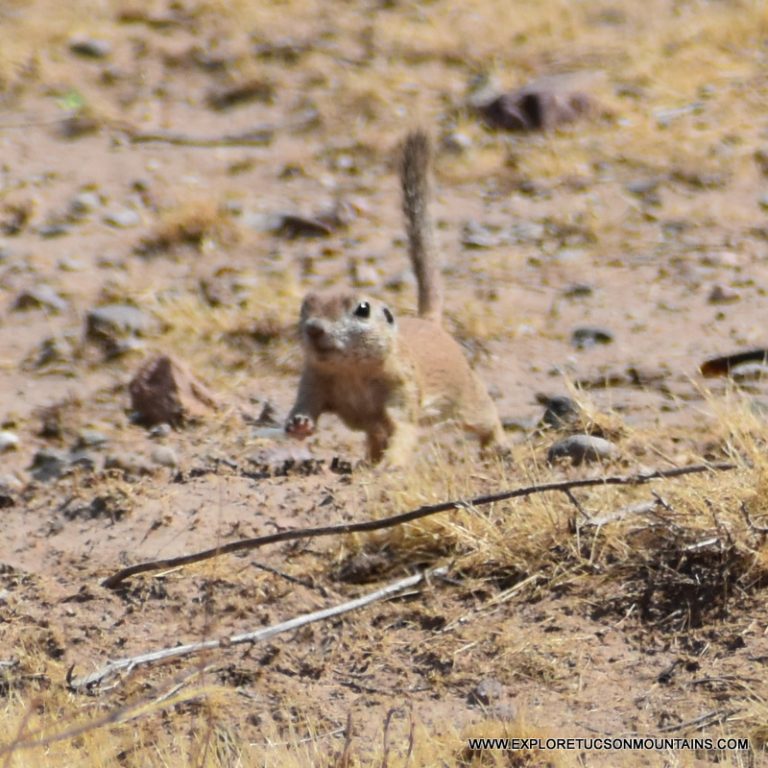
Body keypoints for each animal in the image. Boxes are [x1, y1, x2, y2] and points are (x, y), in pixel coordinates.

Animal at [284, 129, 508, 462]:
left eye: (362, 309)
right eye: (305, 307)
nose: (313, 329)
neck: (353, 371)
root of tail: (430, 321)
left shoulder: (402, 394)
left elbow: (404, 431)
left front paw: (391, 465)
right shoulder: (312, 381)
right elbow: (306, 406)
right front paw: (298, 424)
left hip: (464, 396)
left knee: (487, 415)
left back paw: (498, 446)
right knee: (376, 435)